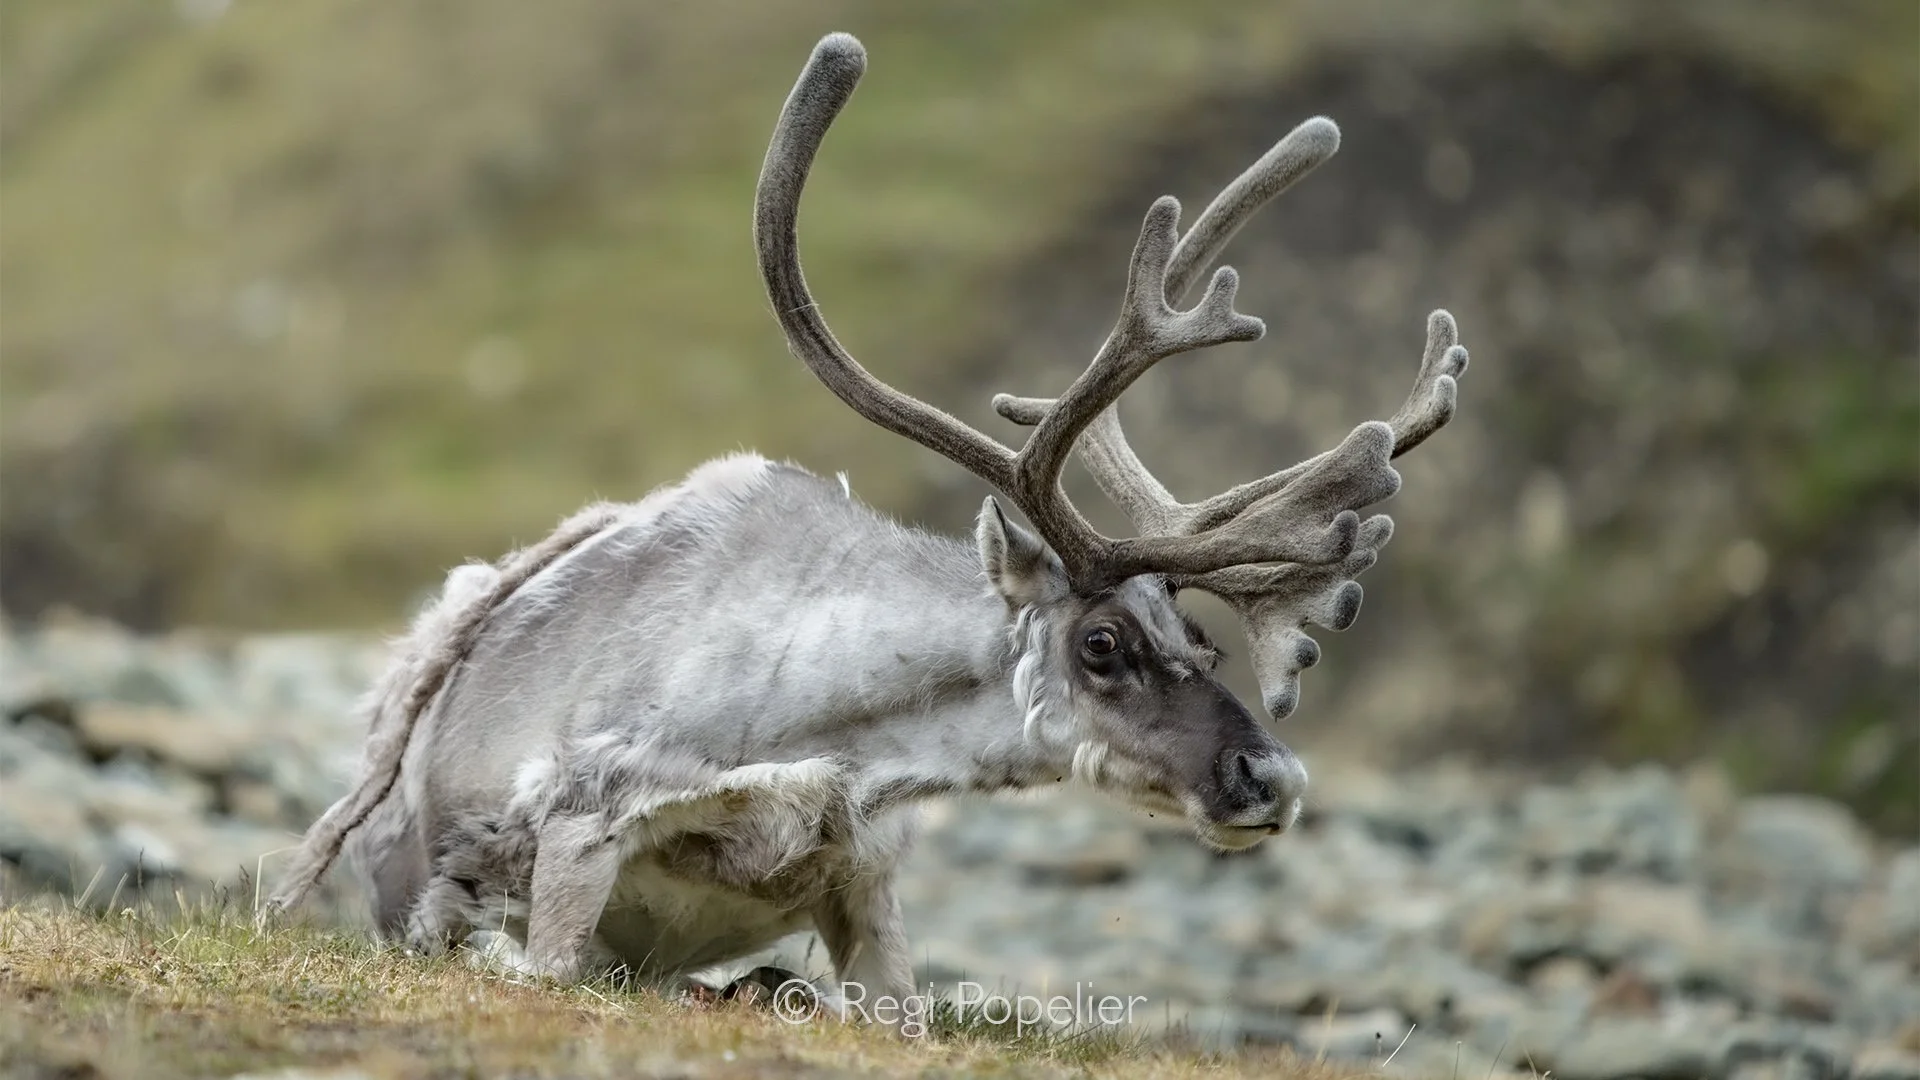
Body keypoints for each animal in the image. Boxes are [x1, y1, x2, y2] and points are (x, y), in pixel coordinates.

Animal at [259, 32, 1470, 1020]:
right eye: (1101, 644)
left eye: (1206, 642)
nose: (1273, 777)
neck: (826, 727)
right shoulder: (579, 827)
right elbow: (548, 956)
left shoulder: (867, 882)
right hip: (415, 889)